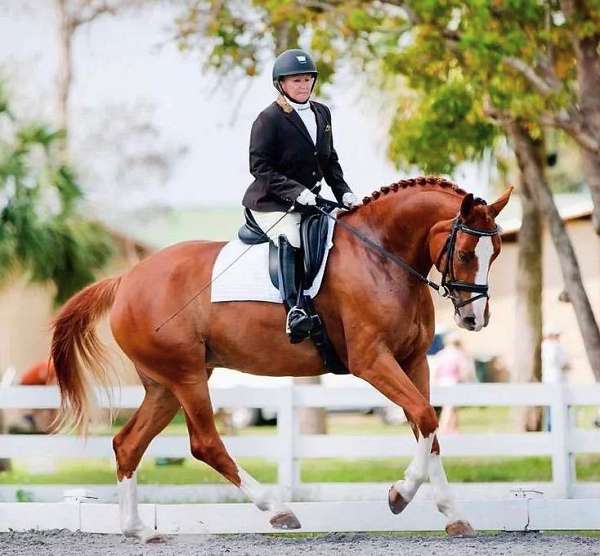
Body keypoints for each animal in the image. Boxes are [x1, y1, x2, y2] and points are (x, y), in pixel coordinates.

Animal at [50, 177, 510, 540]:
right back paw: (278, 509)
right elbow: (425, 417)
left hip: (164, 385)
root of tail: (126, 279)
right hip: (187, 377)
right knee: (205, 443)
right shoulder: (371, 361)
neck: (382, 254)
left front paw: (453, 514)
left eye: (496, 253)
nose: (474, 318)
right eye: (465, 253)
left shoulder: (414, 361)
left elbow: (426, 428)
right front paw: (400, 494)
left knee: (128, 445)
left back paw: (139, 530)